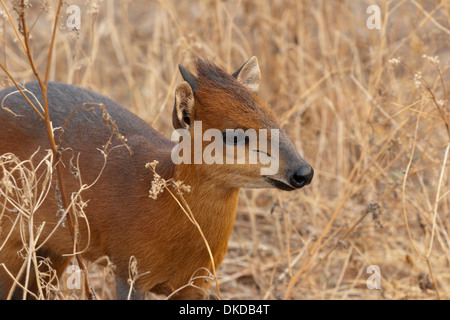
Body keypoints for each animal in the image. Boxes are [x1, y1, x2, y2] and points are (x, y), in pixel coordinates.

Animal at [0, 56, 312, 298]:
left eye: (272, 119)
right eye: (234, 135)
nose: (303, 172)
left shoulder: (194, 285)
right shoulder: (129, 273)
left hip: (50, 251)